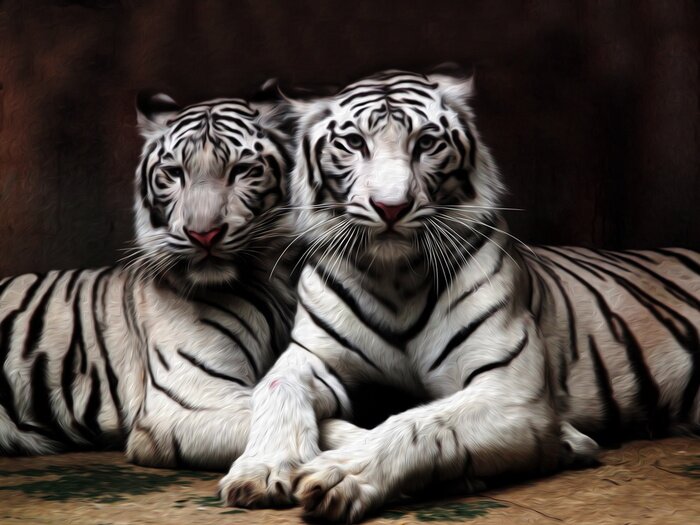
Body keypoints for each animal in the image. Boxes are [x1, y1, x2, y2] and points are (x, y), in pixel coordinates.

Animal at [218, 68, 700, 522]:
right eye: (354, 142)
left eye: (426, 143)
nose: (390, 207)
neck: (394, 279)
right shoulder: (312, 356)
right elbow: (276, 387)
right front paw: (260, 469)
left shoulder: (508, 388)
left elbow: (418, 422)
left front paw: (342, 473)